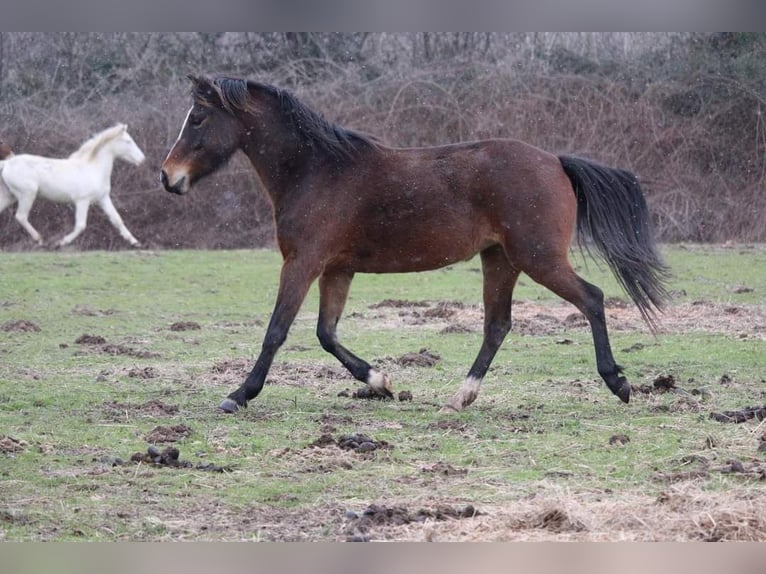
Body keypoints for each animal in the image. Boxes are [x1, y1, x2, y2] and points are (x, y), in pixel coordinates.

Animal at [0, 125, 146, 249]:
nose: (142, 160)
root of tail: (6, 164)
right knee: (21, 216)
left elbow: (117, 219)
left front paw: (135, 242)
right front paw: (61, 243)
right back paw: (40, 240)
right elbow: (81, 225)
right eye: (128, 141)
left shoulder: (103, 198)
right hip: (27, 195)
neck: (94, 169)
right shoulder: (82, 201)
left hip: (10, 196)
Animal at [164, 76, 672, 416]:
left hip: (538, 258)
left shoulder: (302, 263)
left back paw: (619, 383)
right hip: (501, 259)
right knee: (498, 325)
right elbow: (327, 334)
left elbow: (277, 330)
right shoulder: (336, 269)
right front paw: (382, 383)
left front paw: (237, 395)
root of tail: (556, 162)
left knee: (592, 298)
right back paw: (461, 396)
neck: (316, 171)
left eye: (198, 118)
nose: (169, 178)